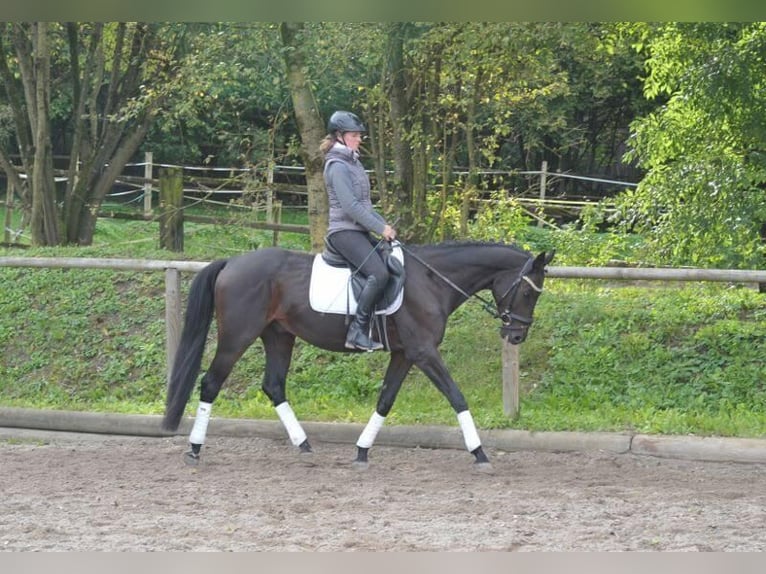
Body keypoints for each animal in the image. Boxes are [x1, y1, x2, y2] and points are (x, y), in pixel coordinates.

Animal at [162, 241, 556, 470]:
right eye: (527, 293)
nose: (517, 335)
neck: (432, 280)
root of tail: (231, 263)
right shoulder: (424, 351)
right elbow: (457, 397)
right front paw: (479, 452)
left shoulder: (405, 354)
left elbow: (385, 400)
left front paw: (362, 451)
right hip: (237, 335)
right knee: (211, 382)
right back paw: (194, 449)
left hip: (278, 336)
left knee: (273, 386)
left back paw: (304, 446)